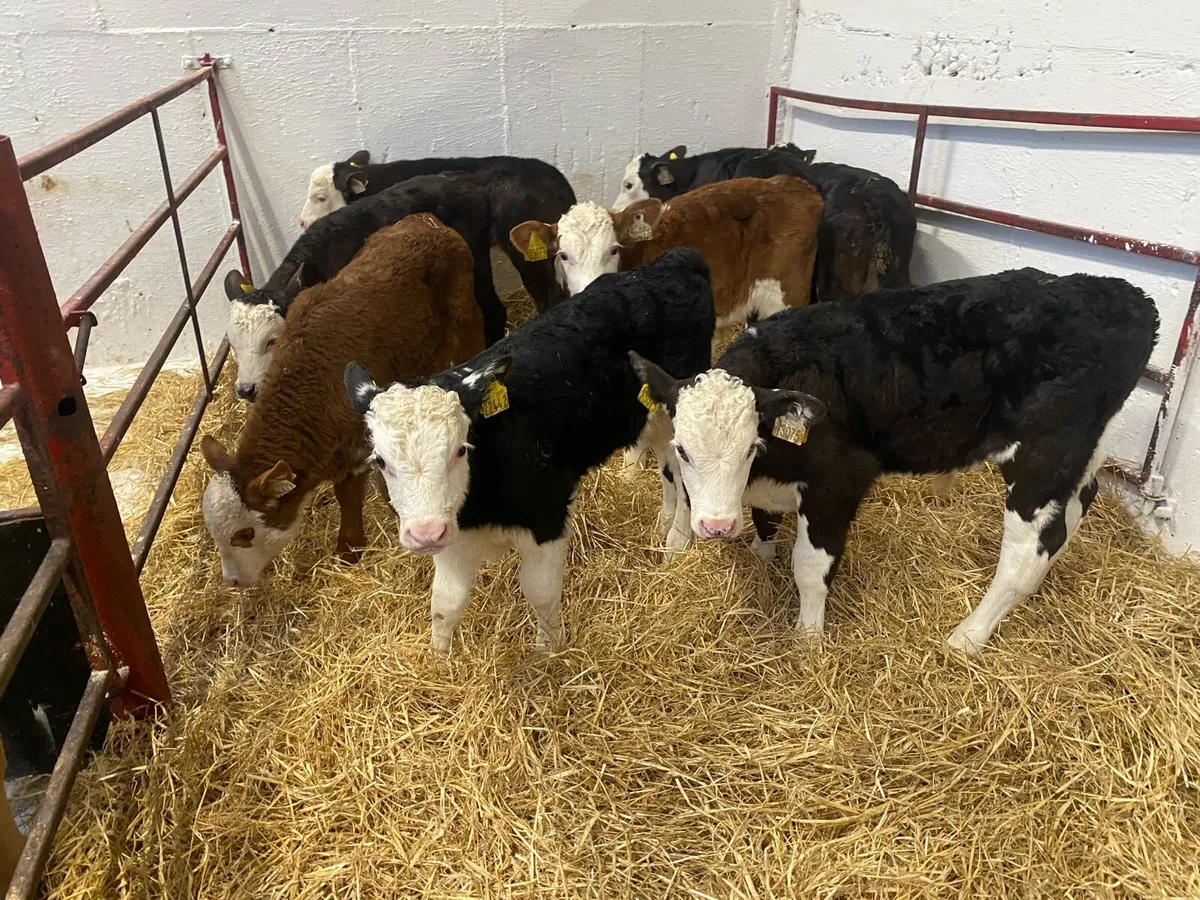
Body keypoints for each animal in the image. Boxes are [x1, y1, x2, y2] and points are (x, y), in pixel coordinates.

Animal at [344, 249, 716, 653]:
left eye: (460, 450)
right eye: (381, 461)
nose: (425, 534)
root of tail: (675, 260)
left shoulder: (547, 514)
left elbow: (539, 591)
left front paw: (548, 650)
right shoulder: (452, 534)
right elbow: (445, 603)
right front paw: (439, 658)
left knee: (683, 470)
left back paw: (676, 541)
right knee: (666, 462)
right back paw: (665, 521)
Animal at [630, 268, 1158, 653]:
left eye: (749, 447)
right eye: (682, 449)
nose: (716, 526)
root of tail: (1126, 295)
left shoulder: (838, 480)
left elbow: (809, 566)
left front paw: (808, 640)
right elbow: (764, 522)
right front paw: (762, 554)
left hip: (1043, 458)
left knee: (1026, 553)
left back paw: (967, 637)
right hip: (1085, 451)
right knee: (1073, 514)